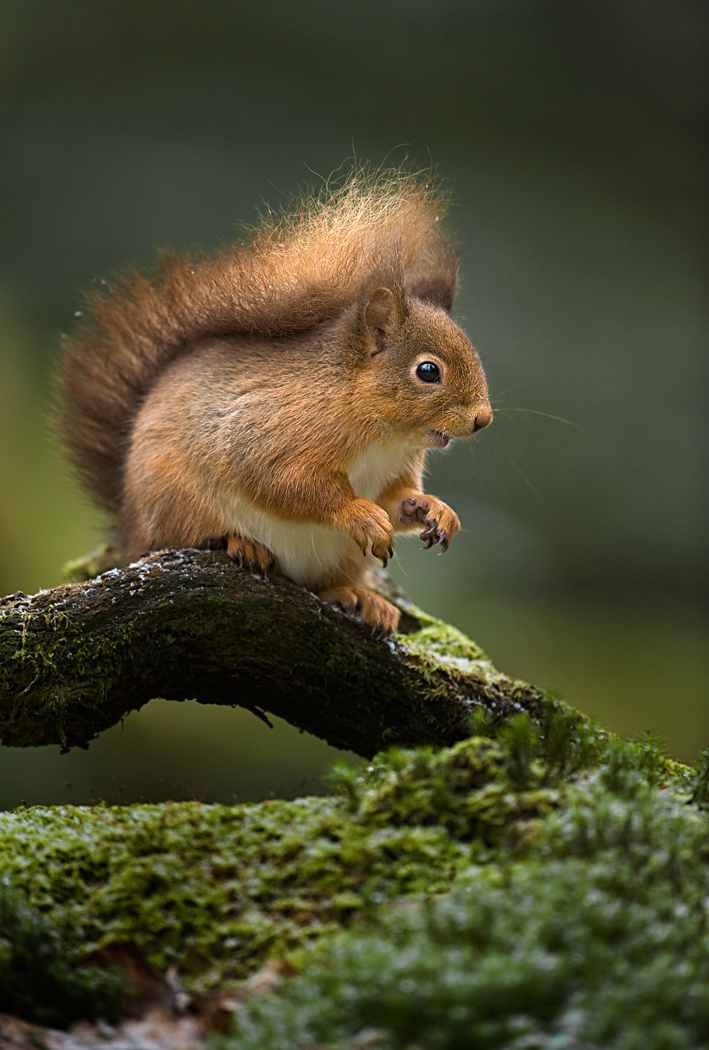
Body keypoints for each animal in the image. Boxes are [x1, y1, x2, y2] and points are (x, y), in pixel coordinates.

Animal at [56, 167, 492, 634]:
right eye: (428, 371)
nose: (483, 419)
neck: (382, 434)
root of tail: (130, 532)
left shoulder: (395, 468)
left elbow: (397, 501)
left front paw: (434, 510)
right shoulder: (273, 429)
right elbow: (285, 480)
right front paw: (360, 513)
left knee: (321, 586)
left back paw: (358, 598)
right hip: (175, 502)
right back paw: (239, 544)